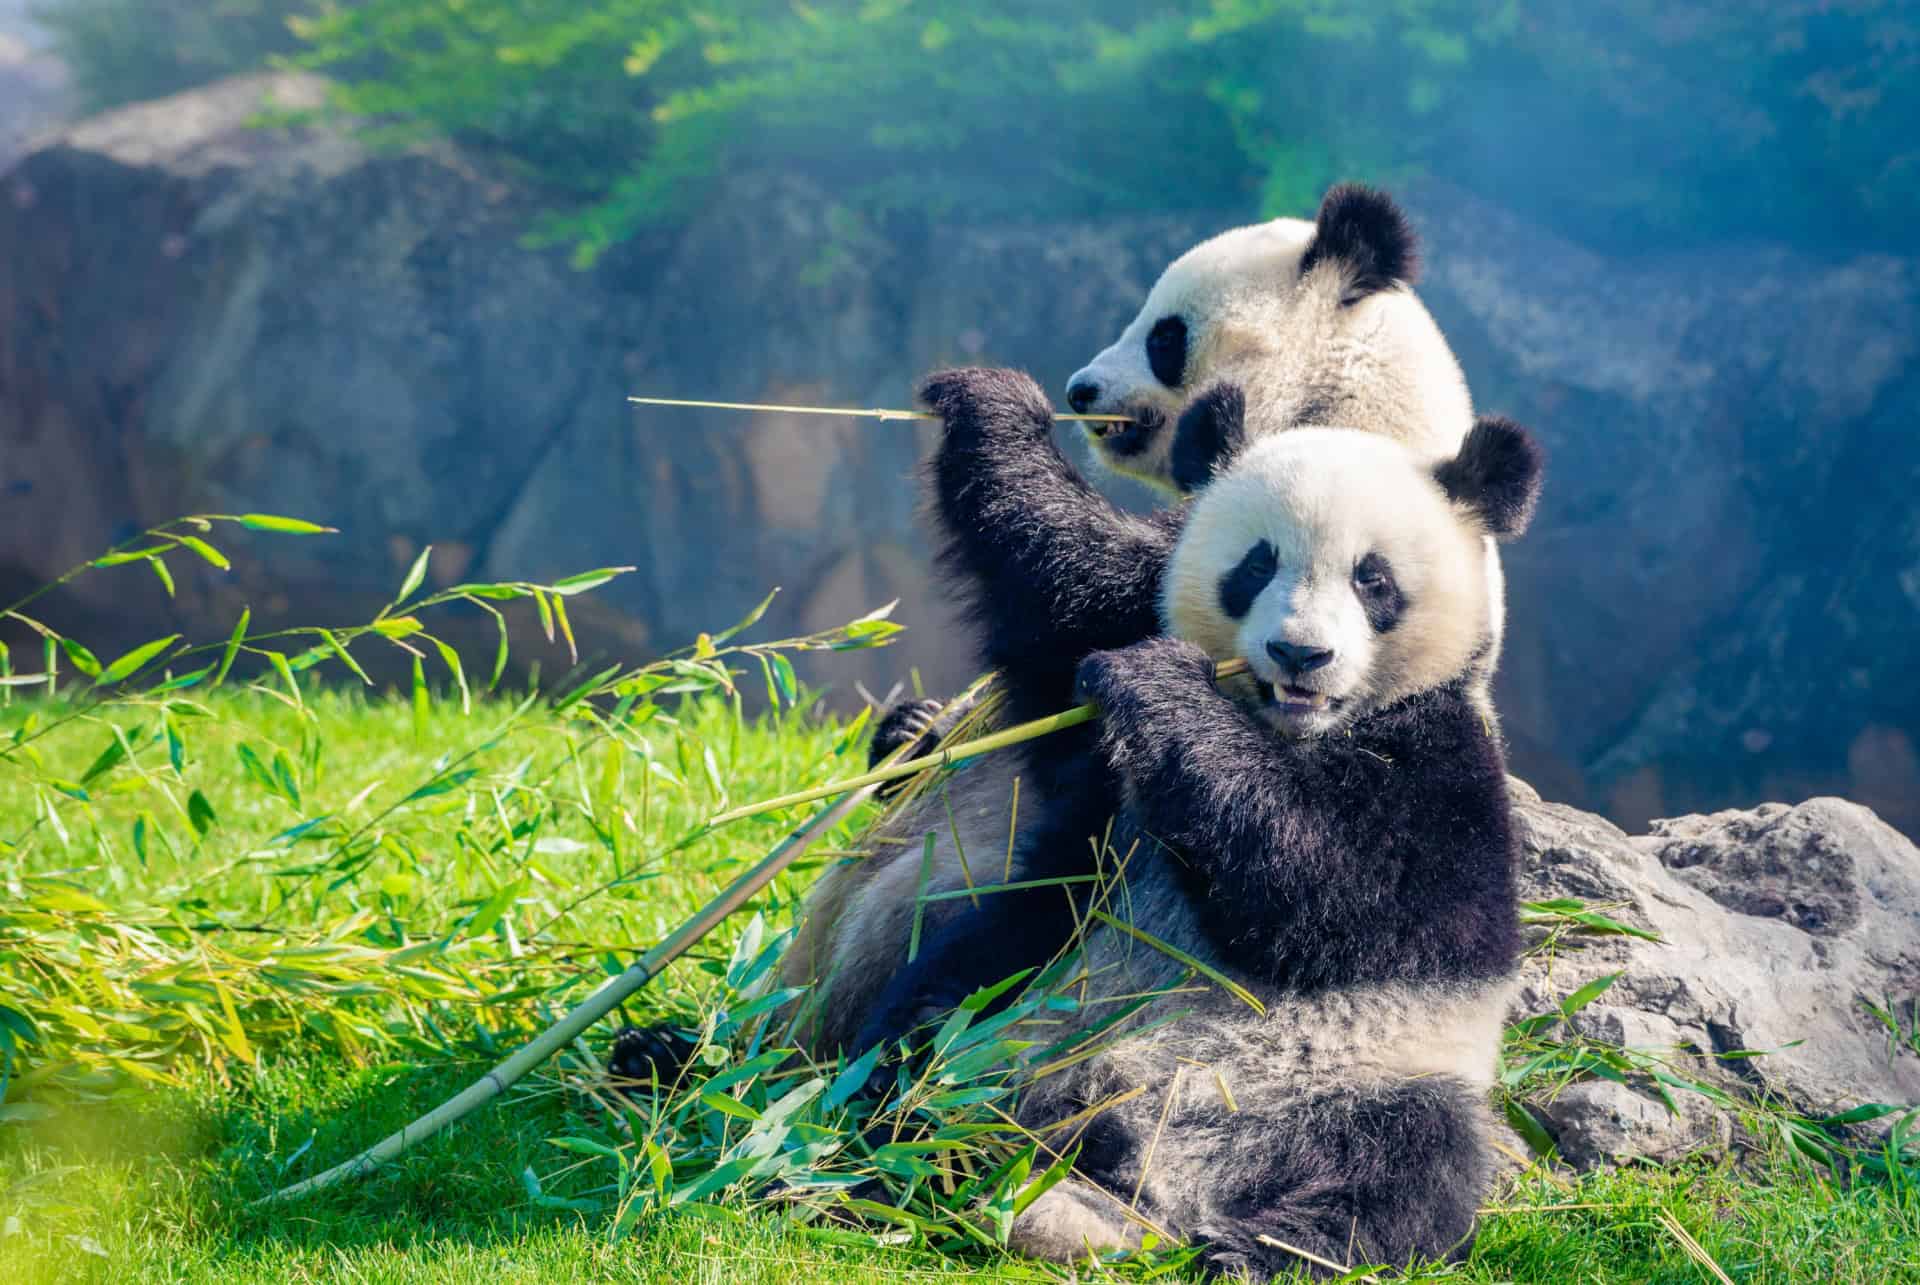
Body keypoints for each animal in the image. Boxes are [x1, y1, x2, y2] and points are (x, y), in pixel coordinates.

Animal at [772, 367, 1540, 1275]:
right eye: (1256, 564)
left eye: (1373, 580)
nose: (1300, 654)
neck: (1289, 727)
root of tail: (1144, 1184)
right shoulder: (1115, 662)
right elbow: (1064, 589)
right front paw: (988, 404)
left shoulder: (1445, 770)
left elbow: (1347, 890)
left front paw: (1163, 688)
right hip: (1028, 981)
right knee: (930, 1020)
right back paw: (885, 1141)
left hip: (1370, 1074)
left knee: (1411, 1169)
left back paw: (1257, 1248)